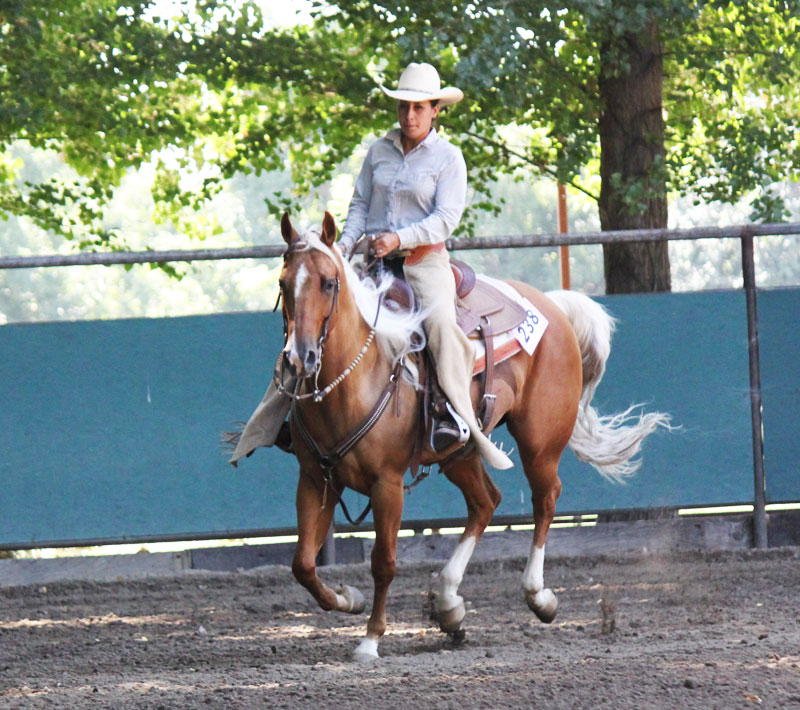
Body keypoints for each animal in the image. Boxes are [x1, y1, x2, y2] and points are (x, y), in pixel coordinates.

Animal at [276, 211, 668, 660]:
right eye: (283, 283)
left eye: (328, 282)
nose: (300, 357)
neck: (353, 380)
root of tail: (553, 305)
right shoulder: (315, 479)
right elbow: (303, 564)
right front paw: (349, 598)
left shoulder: (386, 484)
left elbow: (383, 561)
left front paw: (371, 639)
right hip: (460, 452)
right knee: (486, 502)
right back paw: (450, 607)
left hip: (538, 443)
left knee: (545, 498)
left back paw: (538, 596)